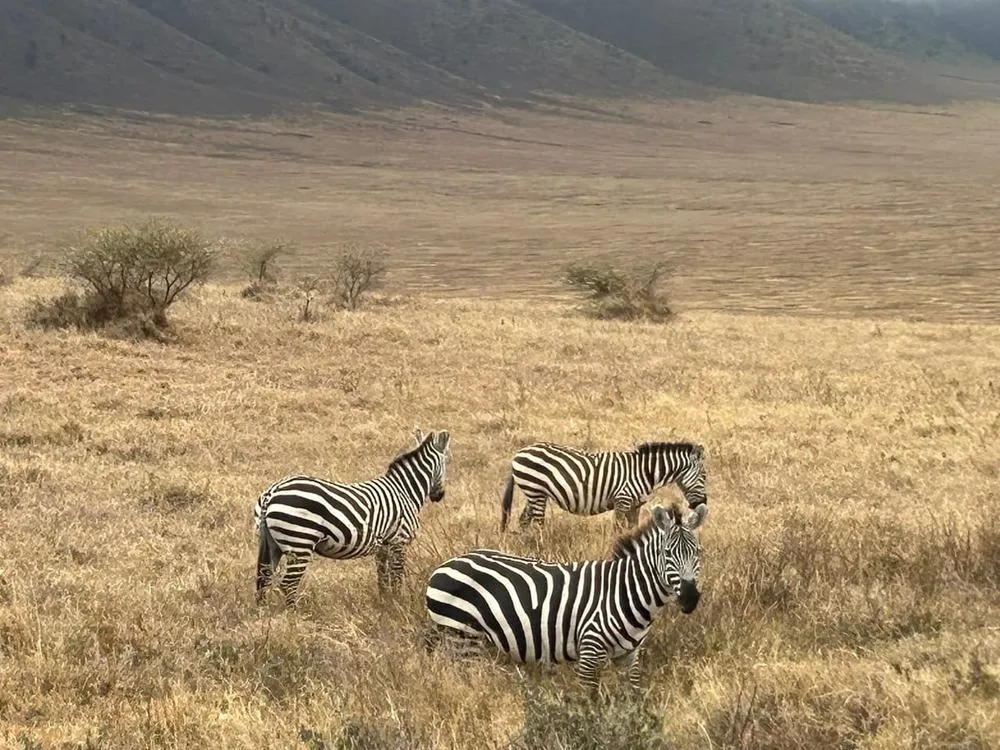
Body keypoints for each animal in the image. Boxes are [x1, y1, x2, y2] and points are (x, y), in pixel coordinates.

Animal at [254, 428, 451, 605]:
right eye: (448, 463)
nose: (439, 496)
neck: (404, 491)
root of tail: (273, 491)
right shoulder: (399, 541)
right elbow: (396, 576)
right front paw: (398, 602)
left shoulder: (383, 545)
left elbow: (383, 576)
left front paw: (386, 602)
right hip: (300, 541)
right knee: (288, 583)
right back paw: (294, 614)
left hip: (271, 542)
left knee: (264, 578)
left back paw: (264, 614)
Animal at [424, 502, 706, 694]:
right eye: (667, 553)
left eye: (698, 553)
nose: (690, 598)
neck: (626, 591)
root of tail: (442, 566)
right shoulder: (590, 651)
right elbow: (590, 701)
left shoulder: (629, 655)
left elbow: (633, 697)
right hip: (462, 639)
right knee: (462, 683)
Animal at [499, 441, 707, 532]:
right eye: (704, 477)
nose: (702, 504)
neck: (645, 472)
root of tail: (519, 452)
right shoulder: (622, 501)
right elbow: (617, 529)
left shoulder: (635, 506)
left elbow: (631, 529)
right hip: (535, 491)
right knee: (538, 524)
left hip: (535, 493)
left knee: (524, 520)